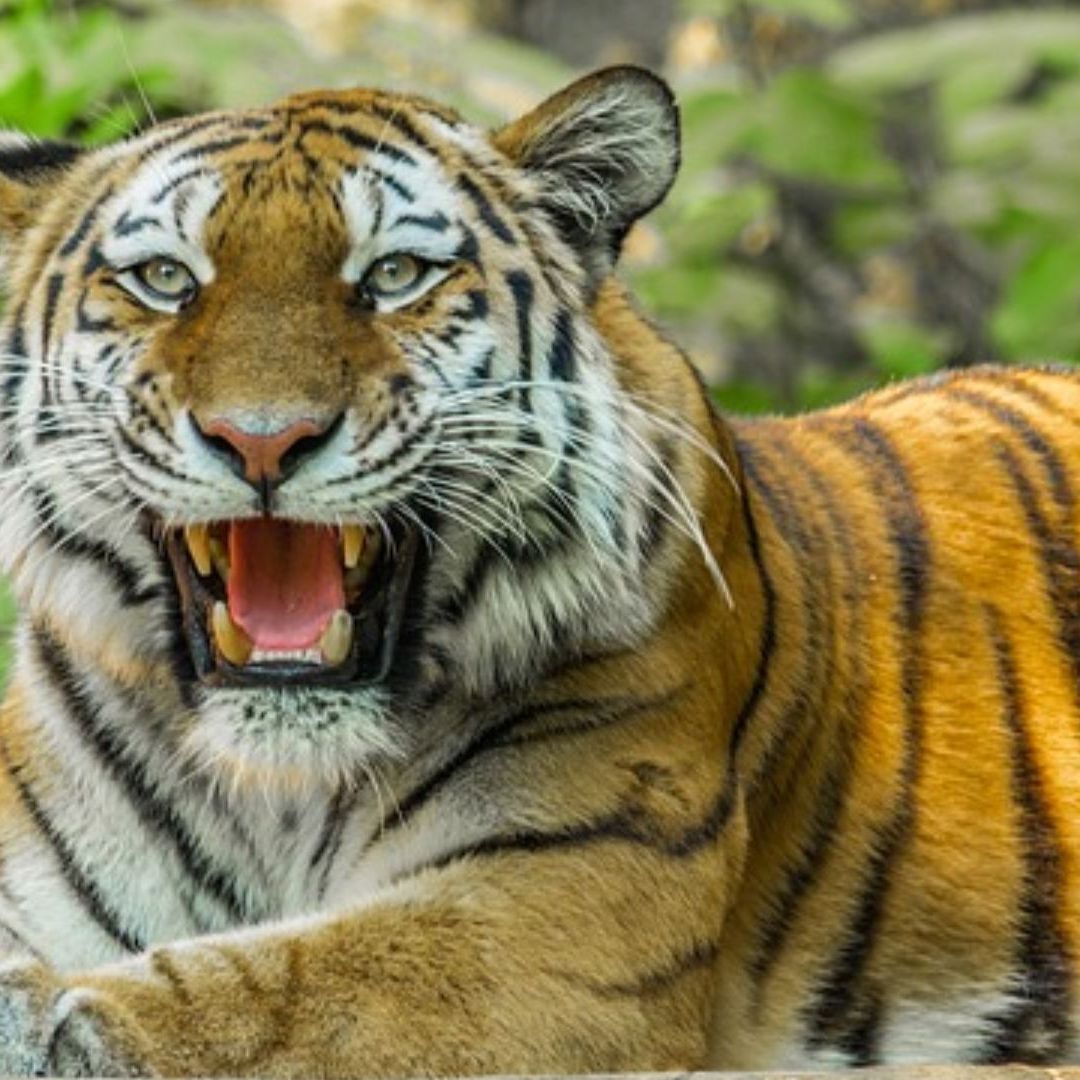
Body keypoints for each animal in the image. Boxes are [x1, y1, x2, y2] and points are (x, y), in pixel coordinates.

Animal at [0, 60, 1075, 1076]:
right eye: (164, 279)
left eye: (395, 273)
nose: (262, 440)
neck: (276, 792)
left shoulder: (554, 910)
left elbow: (281, 986)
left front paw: (51, 1017)